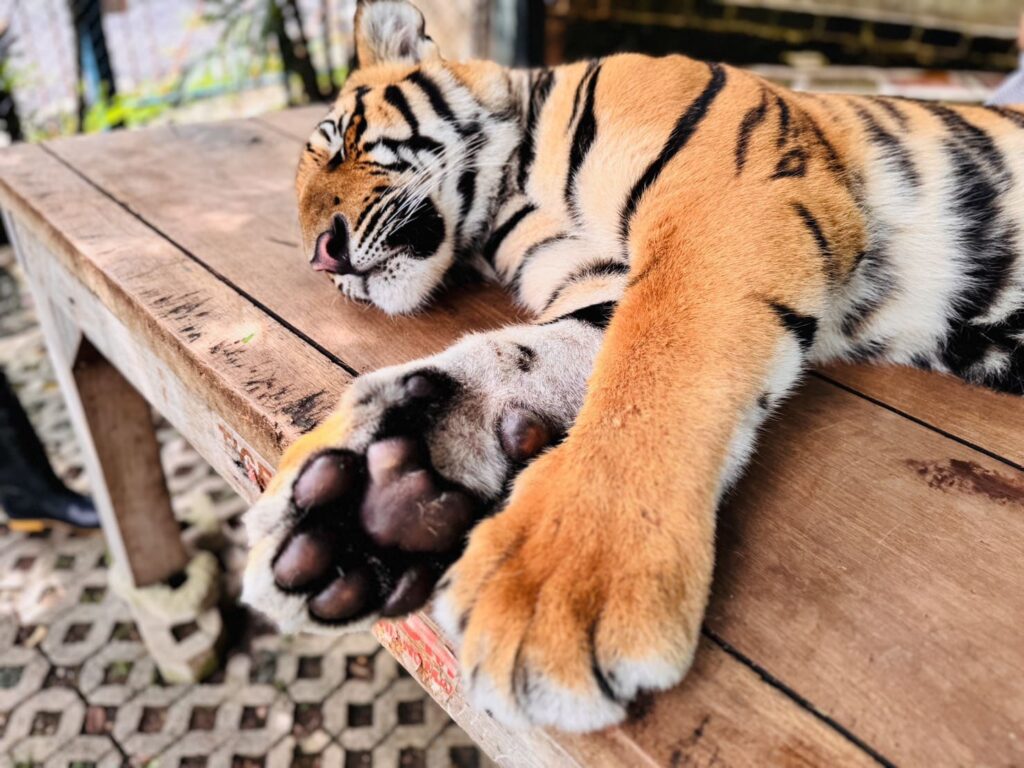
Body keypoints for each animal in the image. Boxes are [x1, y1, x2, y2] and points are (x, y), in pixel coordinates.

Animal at [241, 0, 1024, 733]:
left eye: (344, 141)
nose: (322, 257)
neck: (506, 191)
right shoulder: (600, 281)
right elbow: (527, 354)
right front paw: (378, 492)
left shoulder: (724, 197)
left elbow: (654, 365)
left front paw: (559, 585)